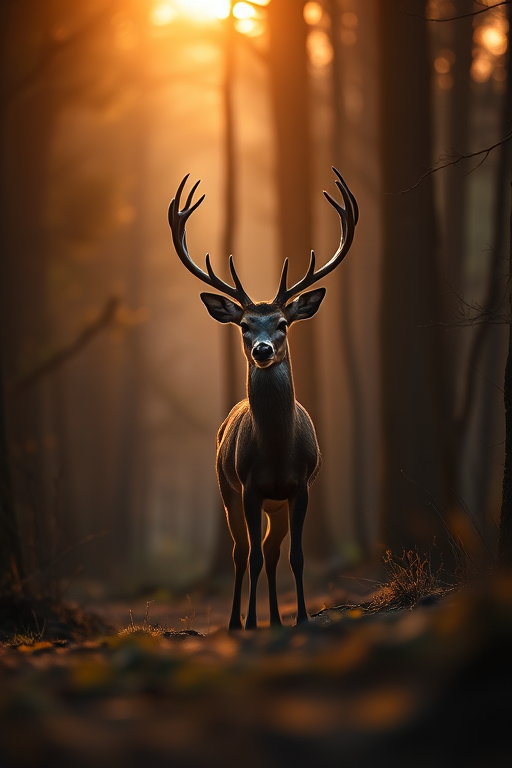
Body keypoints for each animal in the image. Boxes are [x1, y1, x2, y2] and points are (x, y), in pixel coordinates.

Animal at [168, 167, 358, 630]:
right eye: (244, 326)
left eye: (284, 323)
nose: (263, 350)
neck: (276, 452)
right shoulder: (250, 485)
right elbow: (251, 556)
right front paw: (250, 621)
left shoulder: (301, 485)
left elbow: (296, 557)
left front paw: (302, 618)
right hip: (226, 487)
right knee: (242, 553)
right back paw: (239, 621)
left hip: (276, 505)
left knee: (271, 552)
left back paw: (275, 617)